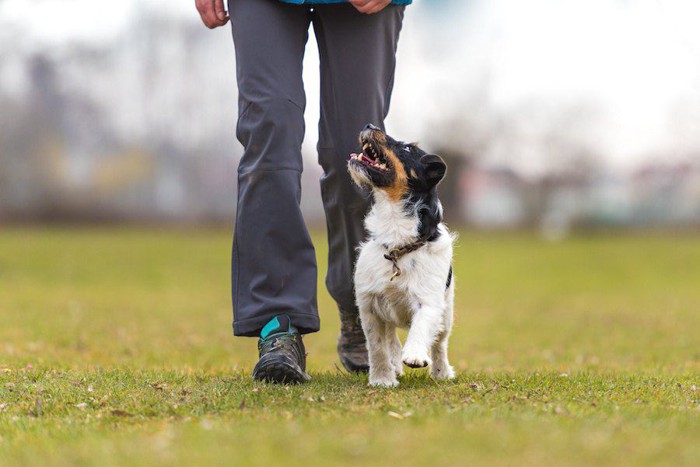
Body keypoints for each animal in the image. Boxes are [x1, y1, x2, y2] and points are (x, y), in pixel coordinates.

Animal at [348, 123, 456, 388]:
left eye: (407, 148)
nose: (369, 125)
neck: (397, 243)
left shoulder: (429, 301)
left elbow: (422, 327)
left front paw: (415, 355)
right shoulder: (369, 306)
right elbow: (377, 347)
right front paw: (382, 379)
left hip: (446, 312)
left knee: (440, 344)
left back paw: (441, 372)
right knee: (391, 339)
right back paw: (395, 365)